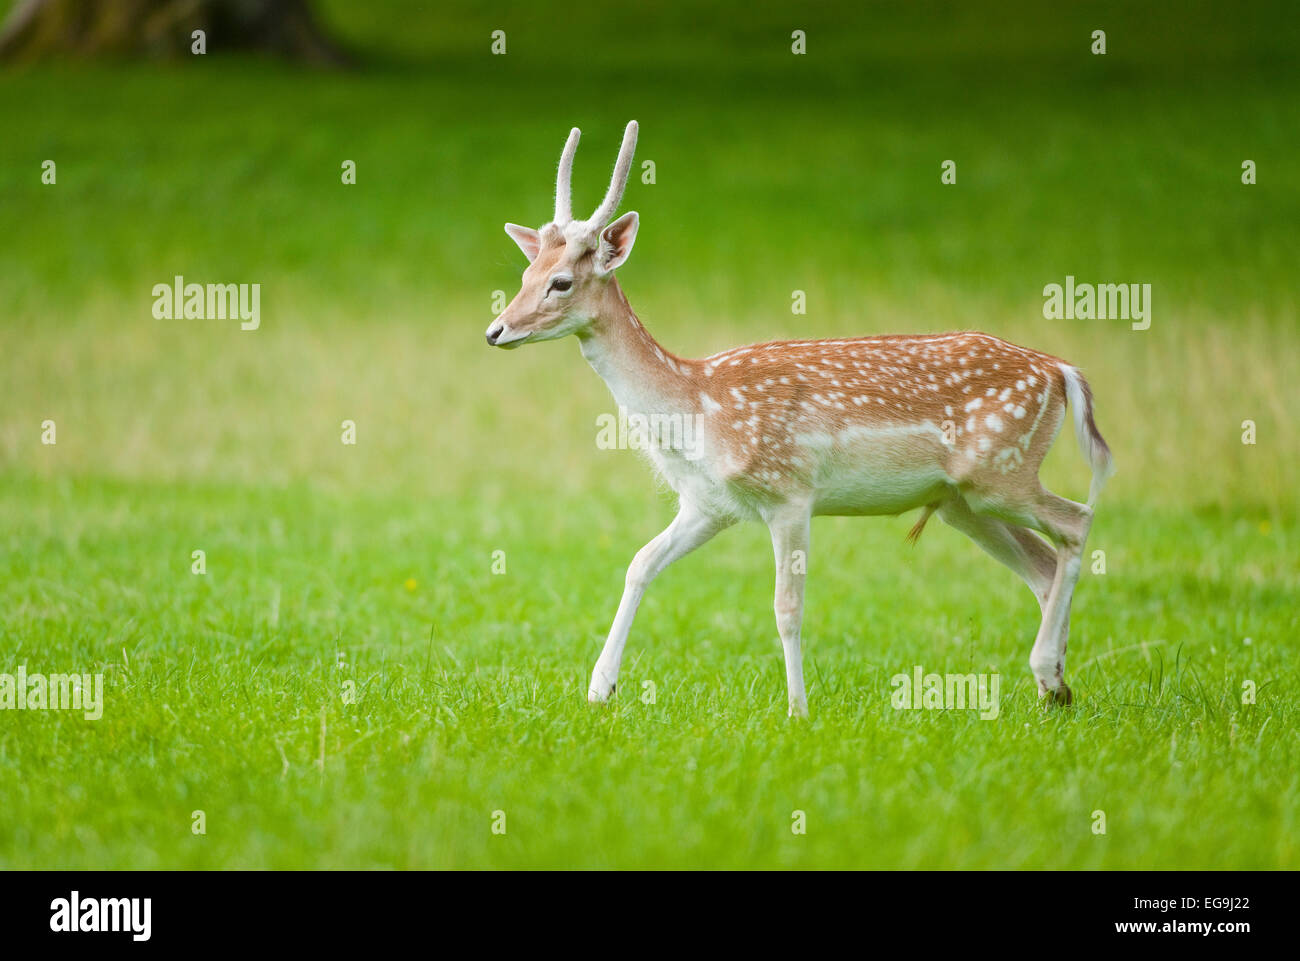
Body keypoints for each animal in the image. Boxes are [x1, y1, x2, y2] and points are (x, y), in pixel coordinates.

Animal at [483, 122, 1112, 712]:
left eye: (561, 282)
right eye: (524, 275)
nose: (496, 330)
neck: (696, 407)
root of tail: (1062, 371)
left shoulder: (789, 491)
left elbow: (787, 607)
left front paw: (797, 710)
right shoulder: (709, 504)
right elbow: (639, 564)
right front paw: (599, 689)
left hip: (1000, 469)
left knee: (1077, 521)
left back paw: (1048, 671)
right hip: (963, 501)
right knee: (1043, 565)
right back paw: (1054, 688)